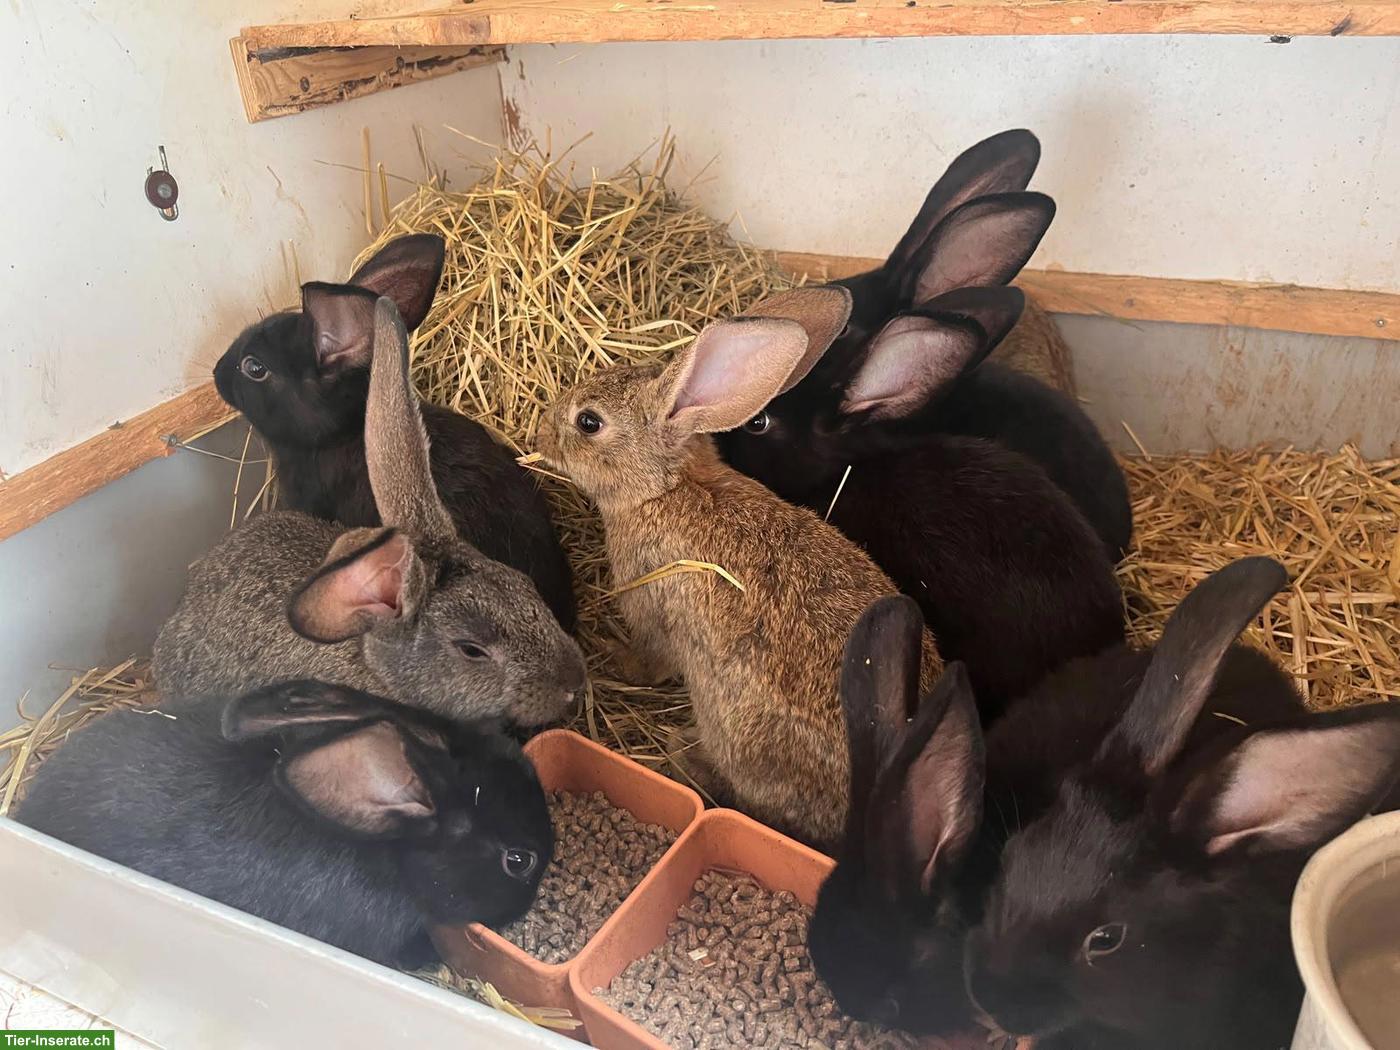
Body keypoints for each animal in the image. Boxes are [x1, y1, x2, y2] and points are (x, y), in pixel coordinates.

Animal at [535, 286, 944, 850]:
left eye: (589, 422)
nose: (541, 432)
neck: (669, 487)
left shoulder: (653, 607)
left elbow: (651, 662)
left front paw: (610, 653)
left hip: (739, 733)